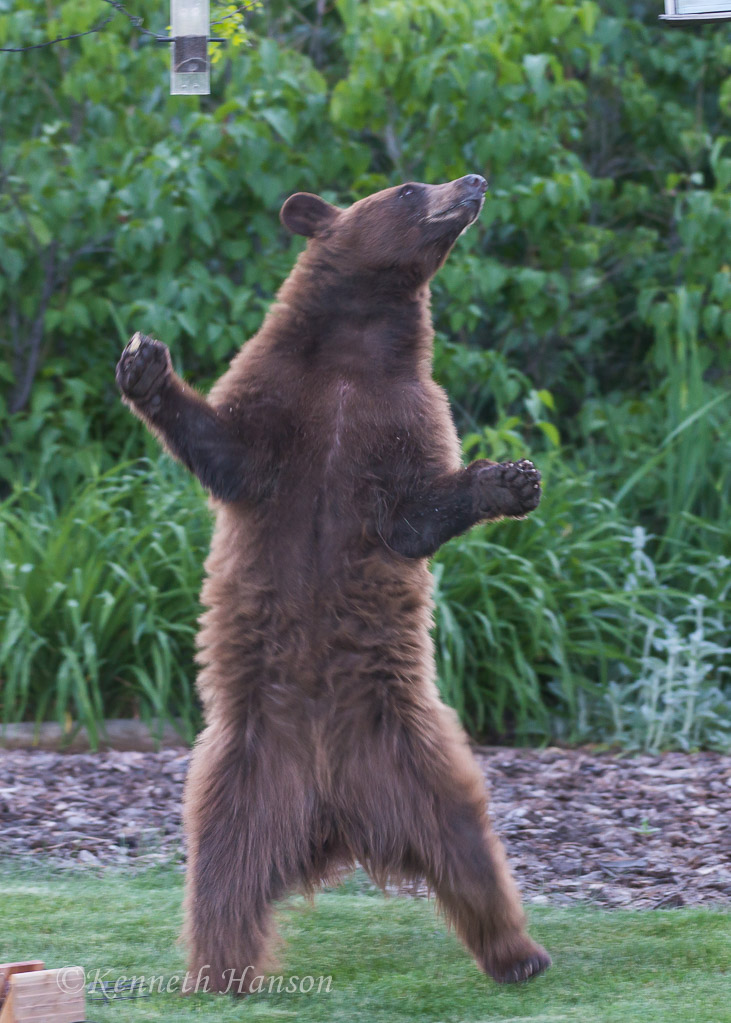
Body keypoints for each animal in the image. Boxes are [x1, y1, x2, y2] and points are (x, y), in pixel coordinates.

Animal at [116, 173, 547, 990]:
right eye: (408, 188)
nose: (472, 182)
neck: (356, 348)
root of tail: (333, 819)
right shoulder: (280, 402)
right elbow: (226, 448)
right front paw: (146, 365)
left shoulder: (405, 416)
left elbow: (413, 515)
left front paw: (508, 478)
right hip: (241, 775)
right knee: (221, 877)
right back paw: (219, 969)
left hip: (415, 762)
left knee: (471, 850)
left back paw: (520, 953)